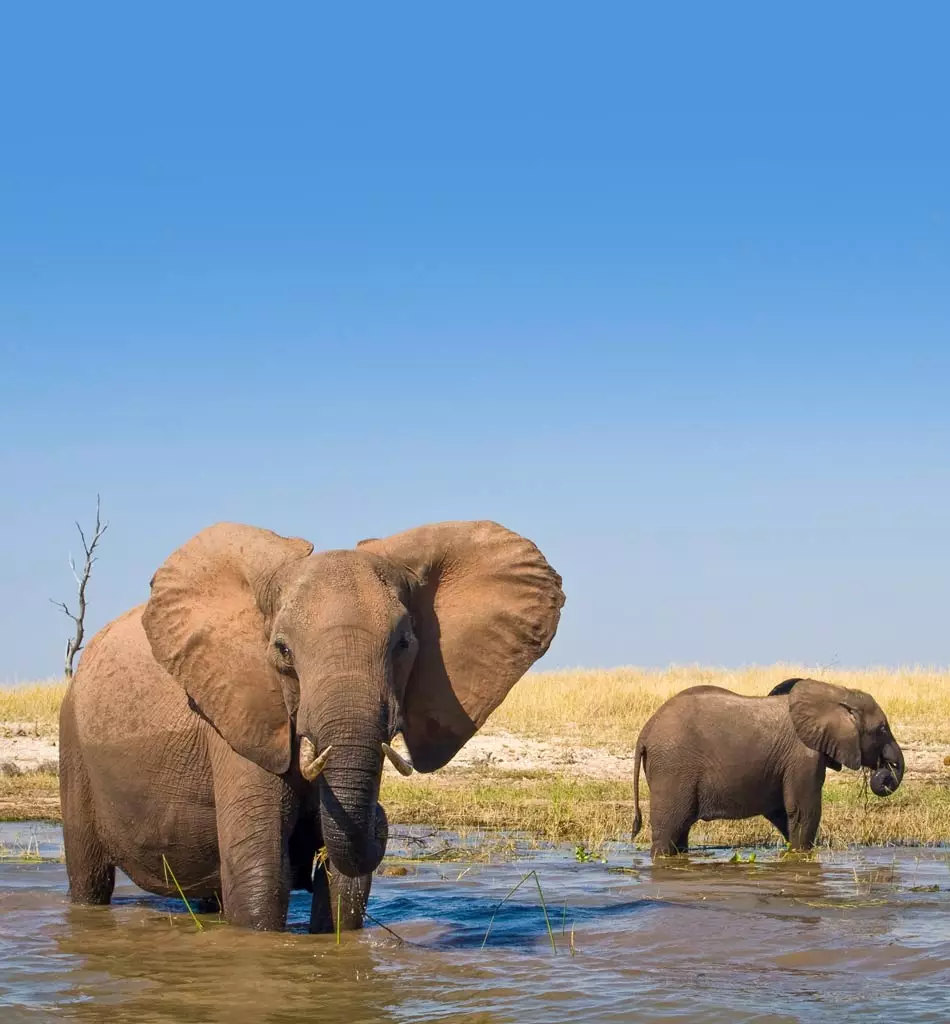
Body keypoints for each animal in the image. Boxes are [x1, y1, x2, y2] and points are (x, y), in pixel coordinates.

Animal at [59, 520, 565, 929]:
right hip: (72, 737)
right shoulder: (237, 718)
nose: (383, 816)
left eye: (404, 644)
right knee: (89, 877)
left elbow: (344, 889)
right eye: (282, 650)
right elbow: (261, 877)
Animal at [630, 671, 904, 856]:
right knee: (670, 829)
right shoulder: (803, 755)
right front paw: (802, 855)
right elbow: (803, 809)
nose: (884, 773)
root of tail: (645, 731)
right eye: (881, 729)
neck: (835, 693)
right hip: (672, 769)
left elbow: (782, 811)